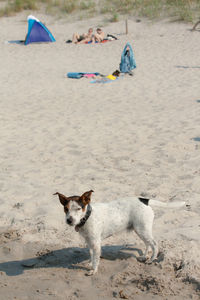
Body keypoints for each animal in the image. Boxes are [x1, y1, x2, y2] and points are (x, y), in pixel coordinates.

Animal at [53, 191, 186, 276]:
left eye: (78, 209)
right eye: (66, 209)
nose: (69, 220)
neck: (88, 216)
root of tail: (144, 200)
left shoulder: (95, 243)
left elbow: (96, 258)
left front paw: (93, 270)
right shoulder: (89, 241)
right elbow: (91, 255)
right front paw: (90, 263)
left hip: (142, 230)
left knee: (154, 244)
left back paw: (151, 260)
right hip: (140, 230)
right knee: (148, 244)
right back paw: (144, 256)